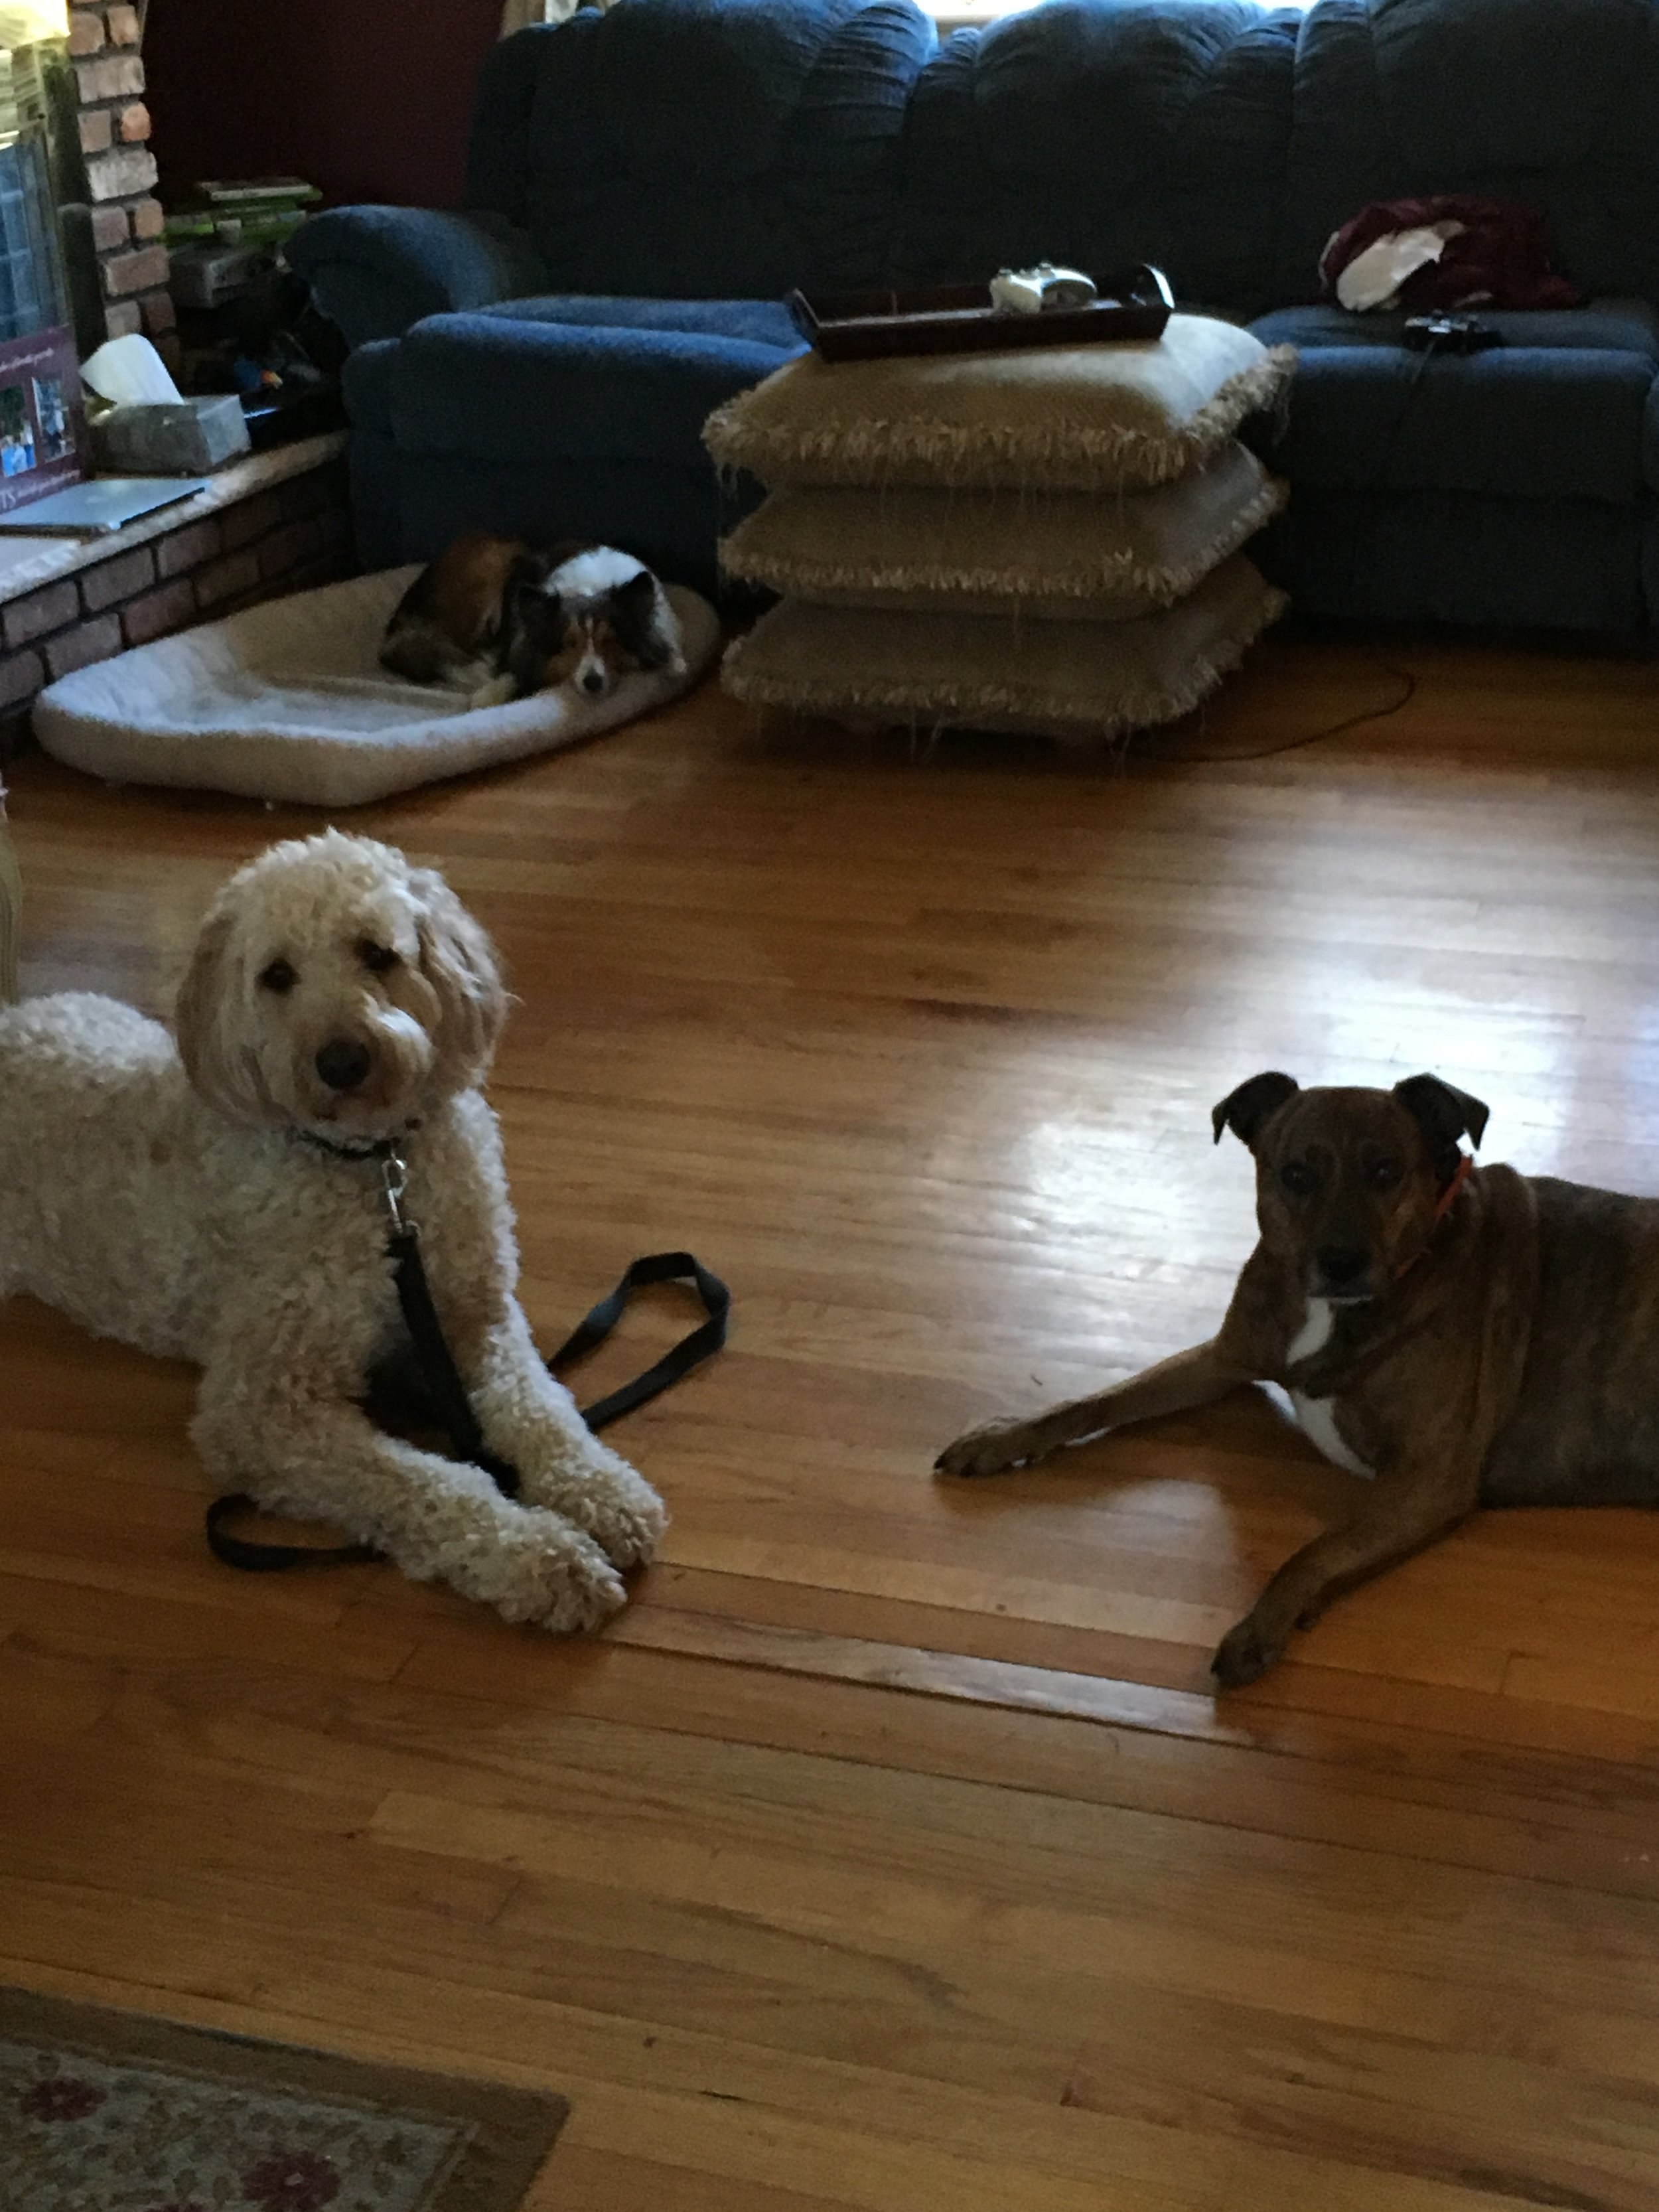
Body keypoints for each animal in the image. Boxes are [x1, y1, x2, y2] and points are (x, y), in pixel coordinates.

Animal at [380, 530, 685, 703]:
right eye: (568, 644)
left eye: (611, 641)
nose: (593, 682)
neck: (589, 589)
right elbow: (509, 670)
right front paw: (491, 692)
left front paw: (675, 665)